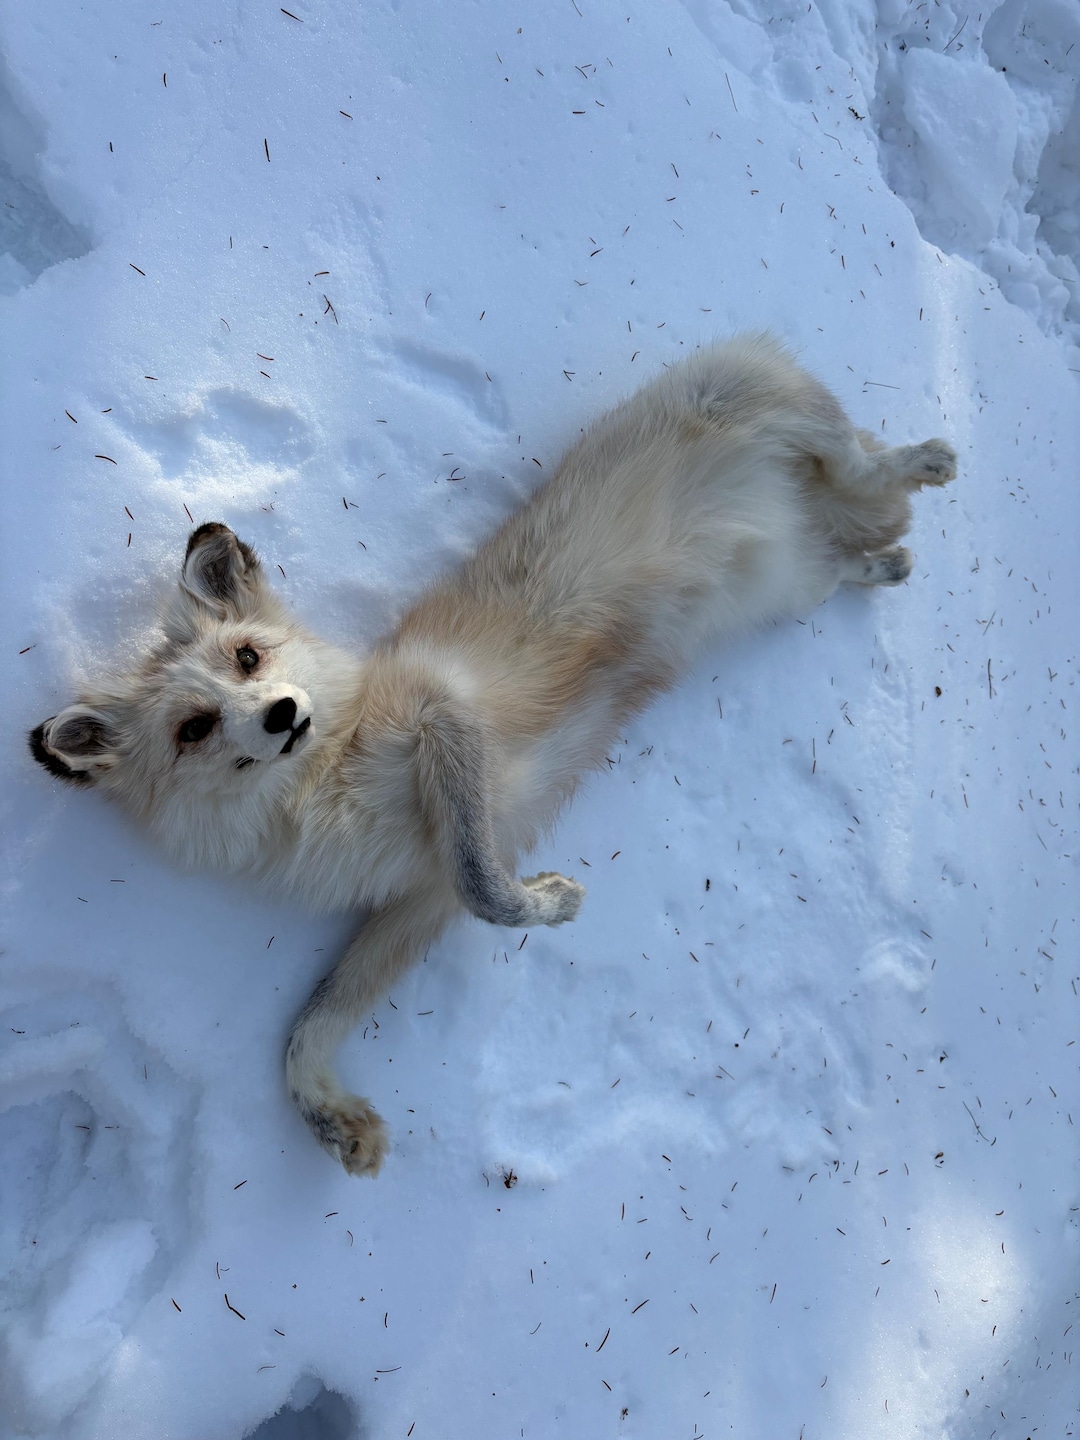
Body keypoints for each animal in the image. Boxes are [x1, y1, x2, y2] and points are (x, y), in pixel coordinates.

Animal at [30, 336, 956, 1177]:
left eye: (249, 658)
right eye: (193, 727)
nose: (283, 713)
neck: (318, 791)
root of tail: (804, 512)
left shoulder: (449, 727)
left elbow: (489, 889)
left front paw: (550, 901)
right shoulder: (413, 901)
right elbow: (309, 1027)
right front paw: (334, 1120)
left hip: (757, 392)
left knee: (864, 458)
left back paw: (926, 460)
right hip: (795, 583)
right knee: (847, 555)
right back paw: (886, 559)